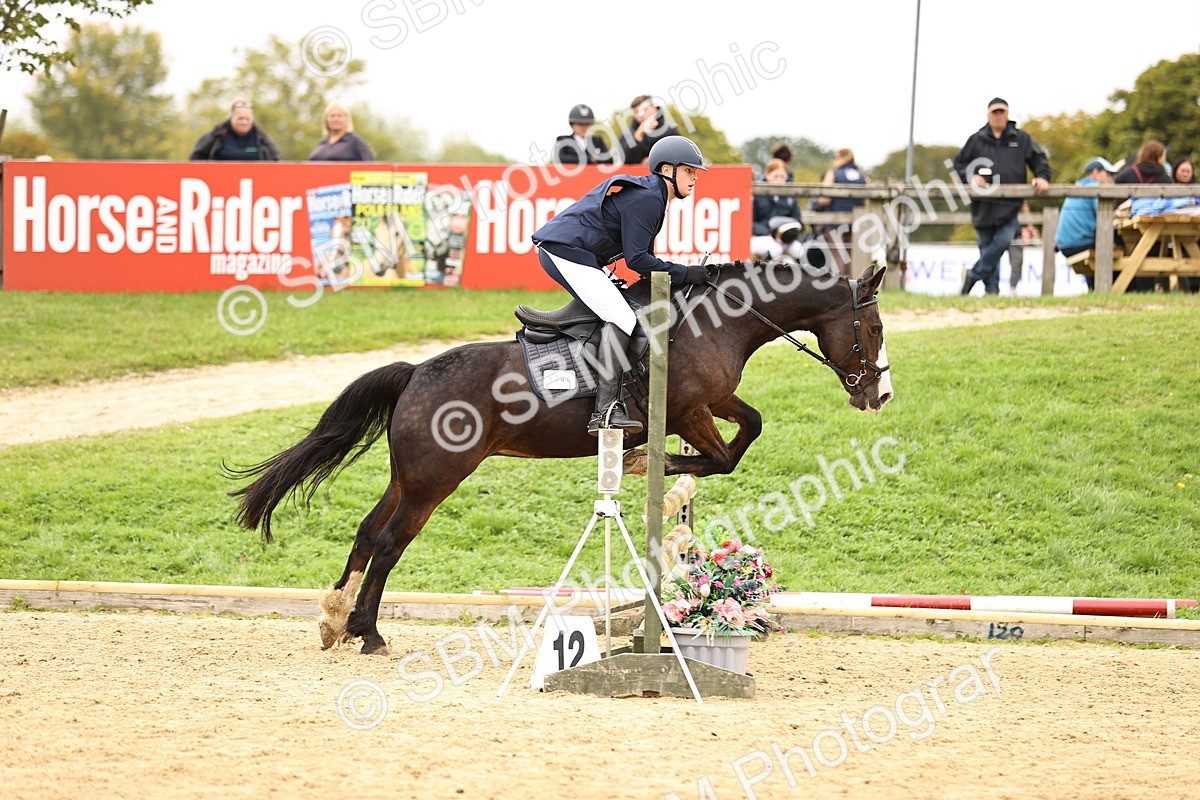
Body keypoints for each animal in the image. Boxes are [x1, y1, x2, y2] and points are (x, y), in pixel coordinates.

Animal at [226, 260, 894, 654]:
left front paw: (647, 464)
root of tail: (415, 372)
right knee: (390, 542)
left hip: (408, 476)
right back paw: (368, 633)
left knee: (368, 533)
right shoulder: (686, 413)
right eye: (876, 329)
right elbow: (722, 457)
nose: (879, 395)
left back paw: (335, 619)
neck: (718, 323)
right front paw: (645, 464)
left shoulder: (714, 401)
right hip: (436, 478)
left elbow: (748, 429)